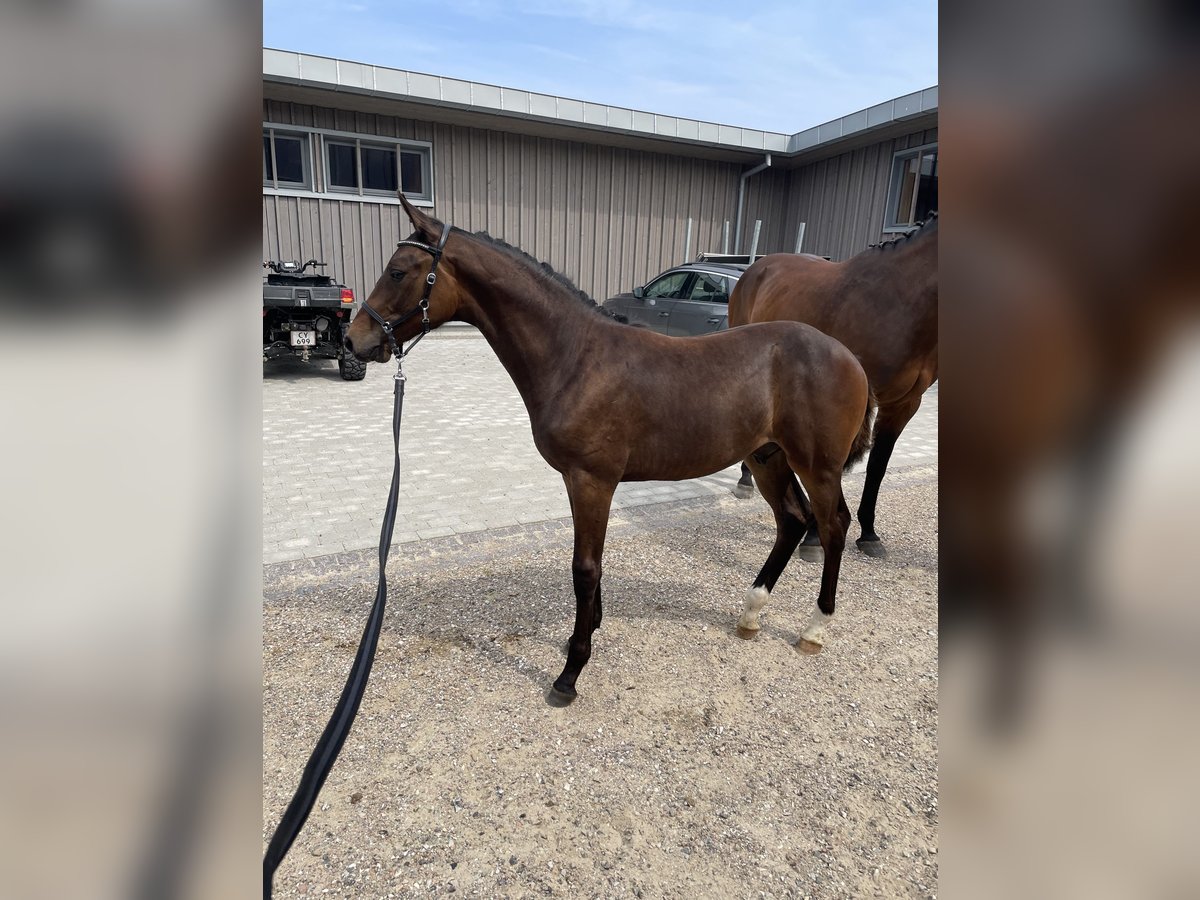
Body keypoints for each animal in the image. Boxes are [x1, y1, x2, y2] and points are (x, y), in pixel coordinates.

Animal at [348, 195, 873, 705]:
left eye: (398, 271)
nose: (355, 340)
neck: (576, 357)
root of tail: (849, 356)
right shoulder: (580, 481)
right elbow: (591, 568)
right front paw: (583, 636)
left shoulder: (592, 481)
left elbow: (584, 569)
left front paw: (571, 671)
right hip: (768, 459)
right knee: (793, 521)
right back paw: (751, 614)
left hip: (817, 467)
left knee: (832, 525)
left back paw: (815, 628)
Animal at [724, 214, 940, 561]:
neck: (901, 301)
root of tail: (759, 265)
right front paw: (813, 538)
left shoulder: (905, 404)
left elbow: (877, 467)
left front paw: (869, 534)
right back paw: (746, 479)